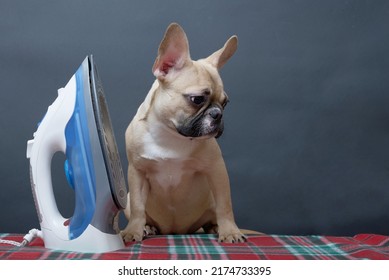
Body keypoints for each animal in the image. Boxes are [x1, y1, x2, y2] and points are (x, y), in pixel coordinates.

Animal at [120, 23, 246, 243]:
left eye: (225, 103)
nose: (217, 114)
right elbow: (138, 207)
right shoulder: (137, 171)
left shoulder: (217, 170)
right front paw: (133, 231)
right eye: (197, 99)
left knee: (212, 215)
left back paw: (215, 227)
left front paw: (230, 231)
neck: (171, 135)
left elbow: (225, 205)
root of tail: (176, 230)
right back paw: (148, 228)